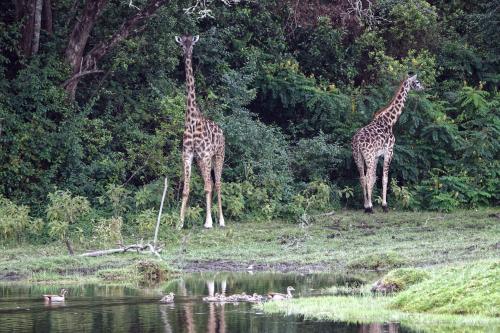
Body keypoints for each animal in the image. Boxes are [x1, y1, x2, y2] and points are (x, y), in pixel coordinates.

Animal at [174, 35, 225, 228]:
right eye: (182, 43)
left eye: (192, 43)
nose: (187, 52)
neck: (191, 121)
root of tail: (222, 132)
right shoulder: (188, 154)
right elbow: (186, 190)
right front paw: (179, 223)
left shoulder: (205, 154)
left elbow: (208, 187)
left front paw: (208, 222)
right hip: (202, 161)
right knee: (209, 182)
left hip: (218, 156)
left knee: (217, 183)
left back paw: (221, 220)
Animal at [350, 73, 424, 211]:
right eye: (417, 82)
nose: (423, 88)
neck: (390, 121)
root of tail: (356, 142)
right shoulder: (389, 151)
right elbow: (384, 178)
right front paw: (384, 205)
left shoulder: (377, 156)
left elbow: (374, 178)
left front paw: (372, 203)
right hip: (368, 156)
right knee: (367, 177)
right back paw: (369, 208)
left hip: (358, 156)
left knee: (362, 177)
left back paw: (366, 206)